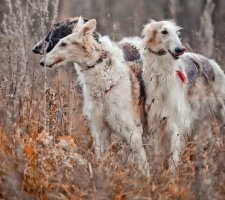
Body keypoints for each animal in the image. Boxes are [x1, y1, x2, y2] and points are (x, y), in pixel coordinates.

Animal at [40, 17, 149, 173]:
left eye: (64, 43)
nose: (41, 61)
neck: (104, 86)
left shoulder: (132, 131)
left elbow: (144, 166)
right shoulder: (99, 130)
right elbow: (101, 159)